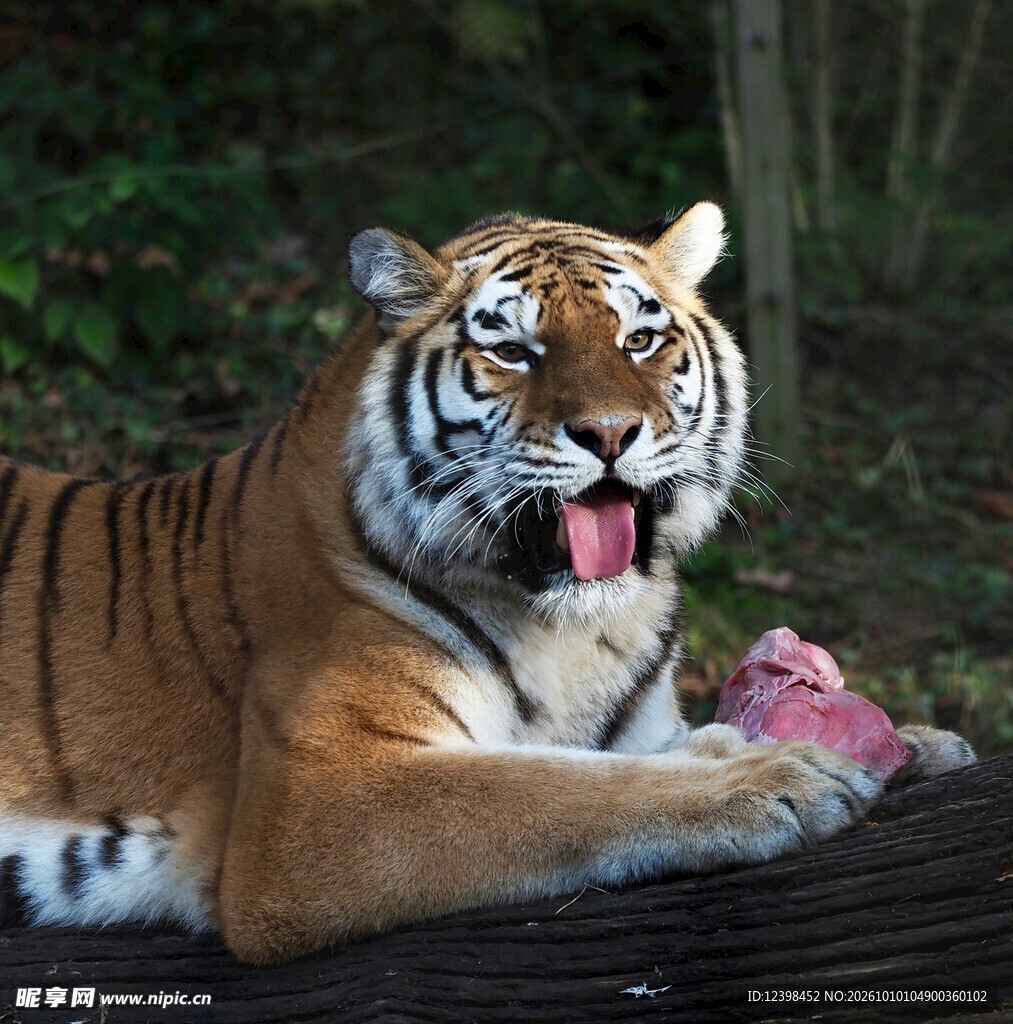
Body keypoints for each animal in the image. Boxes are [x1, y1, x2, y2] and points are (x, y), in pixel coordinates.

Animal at [0, 202, 976, 964]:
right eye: (512, 350)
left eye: (639, 339)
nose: (609, 432)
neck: (580, 629)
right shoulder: (315, 802)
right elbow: (551, 790)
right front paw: (778, 775)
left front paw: (913, 743)